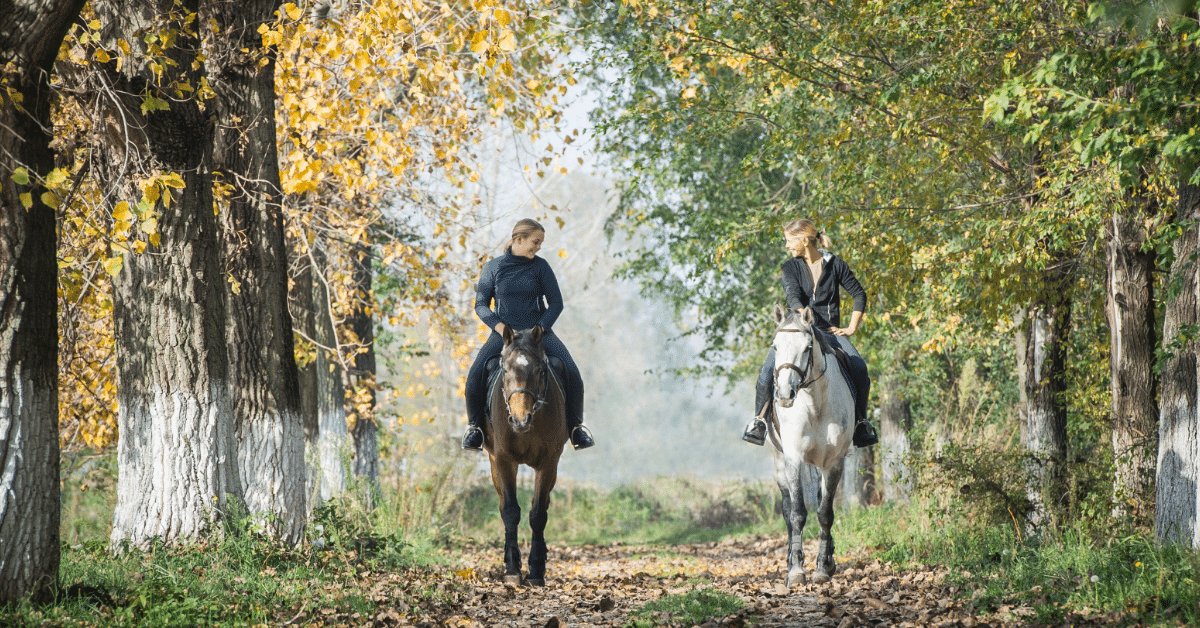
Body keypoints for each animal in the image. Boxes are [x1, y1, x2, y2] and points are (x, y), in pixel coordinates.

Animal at [483, 325, 569, 586]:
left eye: (540, 370)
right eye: (505, 370)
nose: (520, 421)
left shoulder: (549, 462)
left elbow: (538, 513)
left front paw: (536, 570)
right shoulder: (503, 460)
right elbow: (511, 512)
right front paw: (512, 569)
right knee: (504, 506)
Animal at [766, 304, 855, 587]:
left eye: (807, 348)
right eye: (775, 346)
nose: (784, 395)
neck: (815, 404)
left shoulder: (833, 462)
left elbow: (825, 512)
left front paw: (823, 568)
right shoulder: (794, 459)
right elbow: (797, 513)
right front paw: (796, 571)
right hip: (779, 460)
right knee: (787, 508)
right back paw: (790, 559)